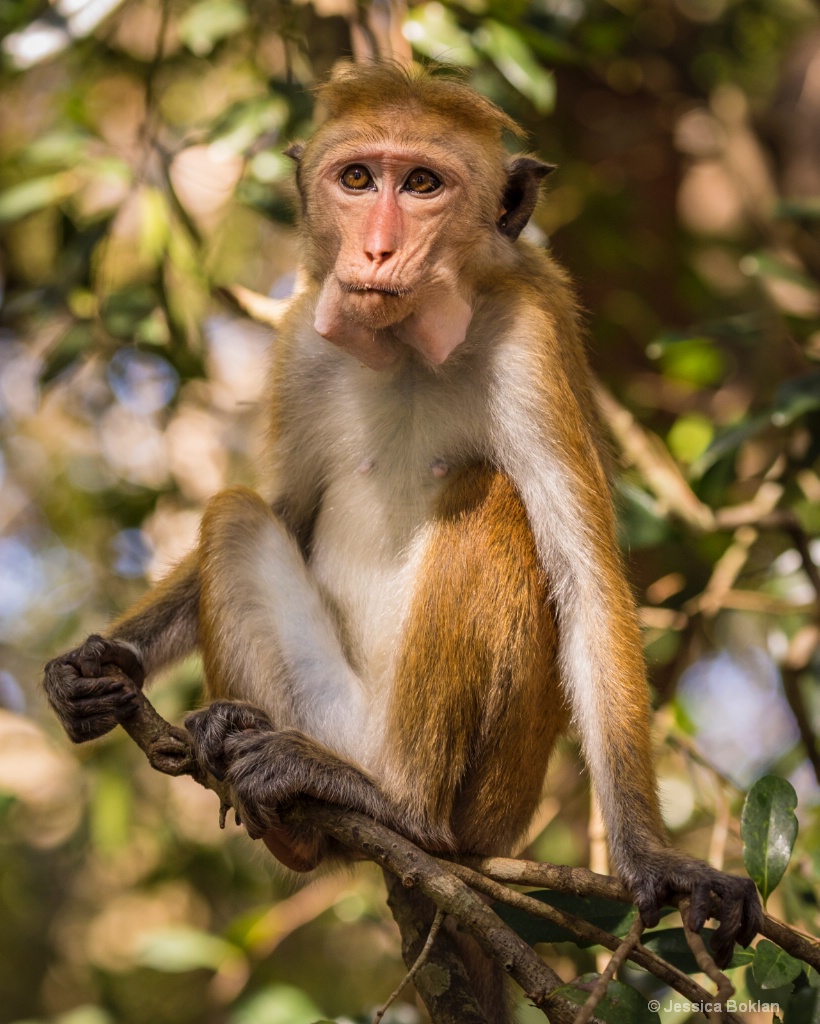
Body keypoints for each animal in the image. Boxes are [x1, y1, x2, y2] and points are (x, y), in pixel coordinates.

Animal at [44, 59, 761, 1003]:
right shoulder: (302, 340)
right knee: (236, 517)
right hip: (330, 710)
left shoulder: (529, 343)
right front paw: (104, 665)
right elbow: (288, 507)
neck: (406, 348)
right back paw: (286, 807)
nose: (376, 251)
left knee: (490, 498)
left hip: (492, 798)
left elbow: (585, 578)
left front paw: (657, 861)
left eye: (422, 185)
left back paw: (403, 813)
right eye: (357, 179)